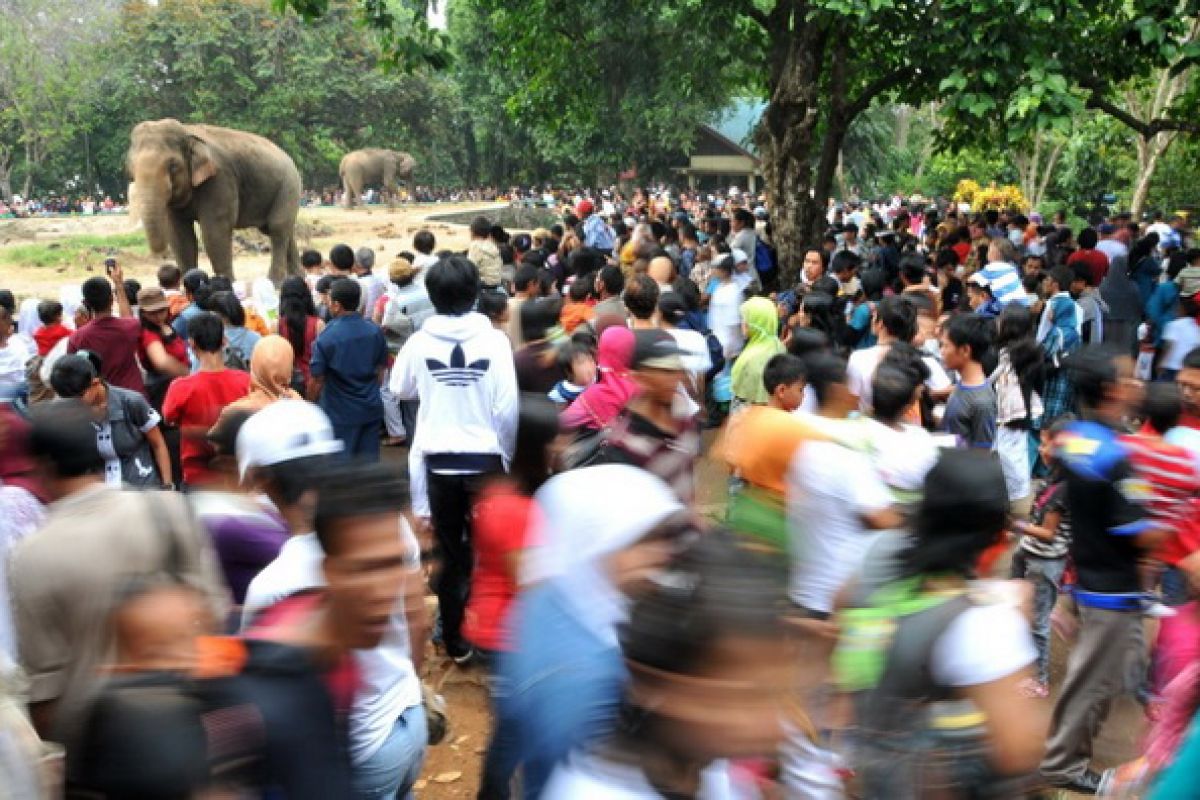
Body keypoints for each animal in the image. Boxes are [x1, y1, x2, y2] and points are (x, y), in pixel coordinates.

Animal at [126, 117, 302, 283]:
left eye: (173, 166)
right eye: (131, 167)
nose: (161, 257)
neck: (187, 131)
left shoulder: (220, 178)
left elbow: (214, 232)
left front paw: (227, 284)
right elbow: (180, 237)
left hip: (289, 186)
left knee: (277, 228)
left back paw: (275, 282)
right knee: (280, 230)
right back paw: (299, 277)